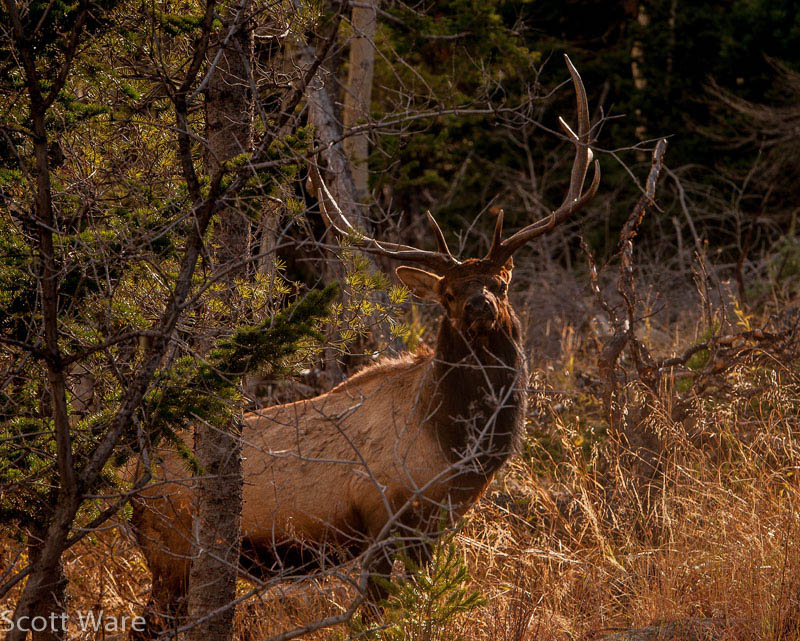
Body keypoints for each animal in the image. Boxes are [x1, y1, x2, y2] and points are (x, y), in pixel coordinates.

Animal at [130, 54, 599, 634]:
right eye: (447, 293)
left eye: (501, 282)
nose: (478, 305)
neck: (455, 447)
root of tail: (133, 482)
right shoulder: (382, 515)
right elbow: (374, 611)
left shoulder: (434, 525)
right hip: (171, 549)